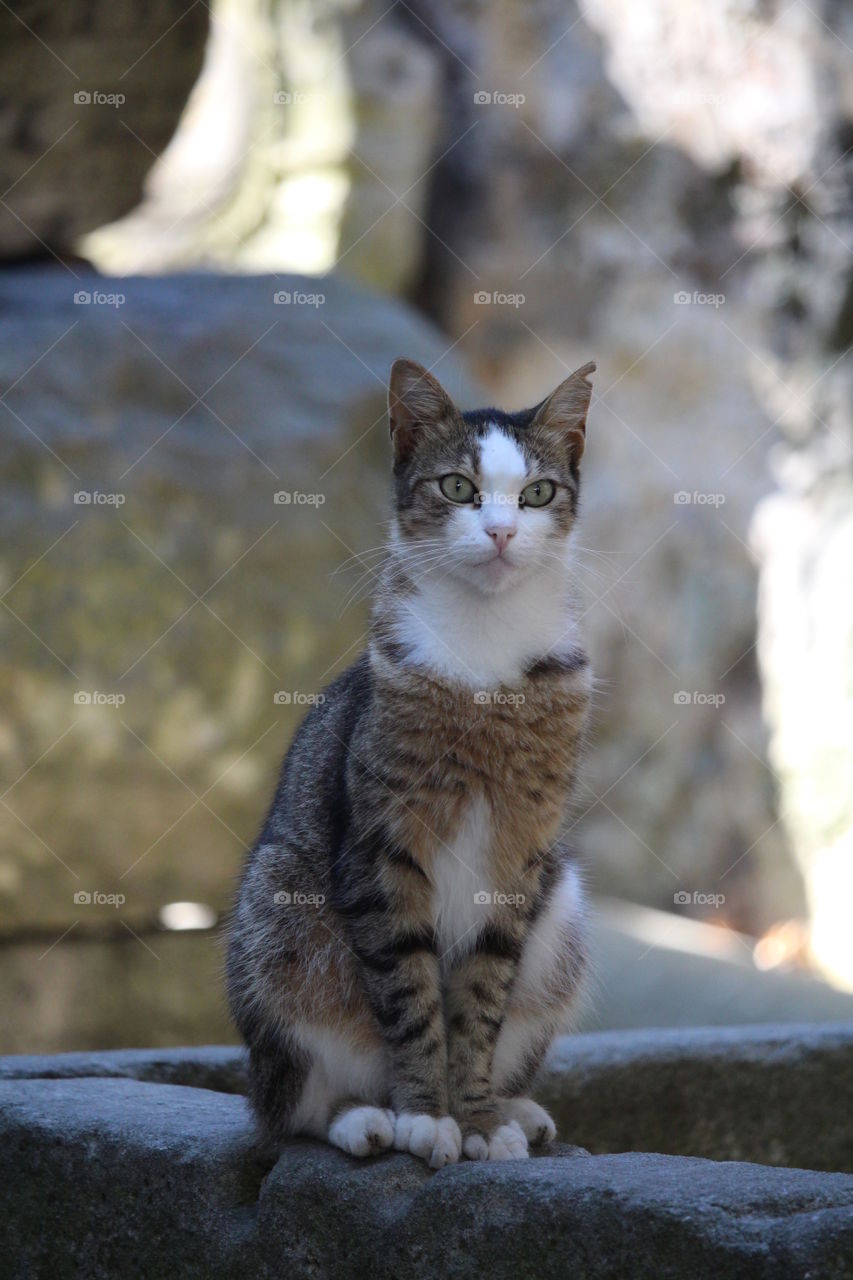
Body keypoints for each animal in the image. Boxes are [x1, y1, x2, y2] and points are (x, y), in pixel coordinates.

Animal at [224, 355, 591, 1167]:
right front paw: (427, 1115)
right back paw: (365, 1118)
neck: (485, 642)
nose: (500, 530)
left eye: (538, 493)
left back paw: (516, 1109)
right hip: (277, 911)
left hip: (563, 907)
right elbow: (410, 993)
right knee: (290, 1105)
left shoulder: (520, 851)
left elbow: (480, 999)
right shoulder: (381, 847)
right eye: (456, 487)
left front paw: (478, 1117)